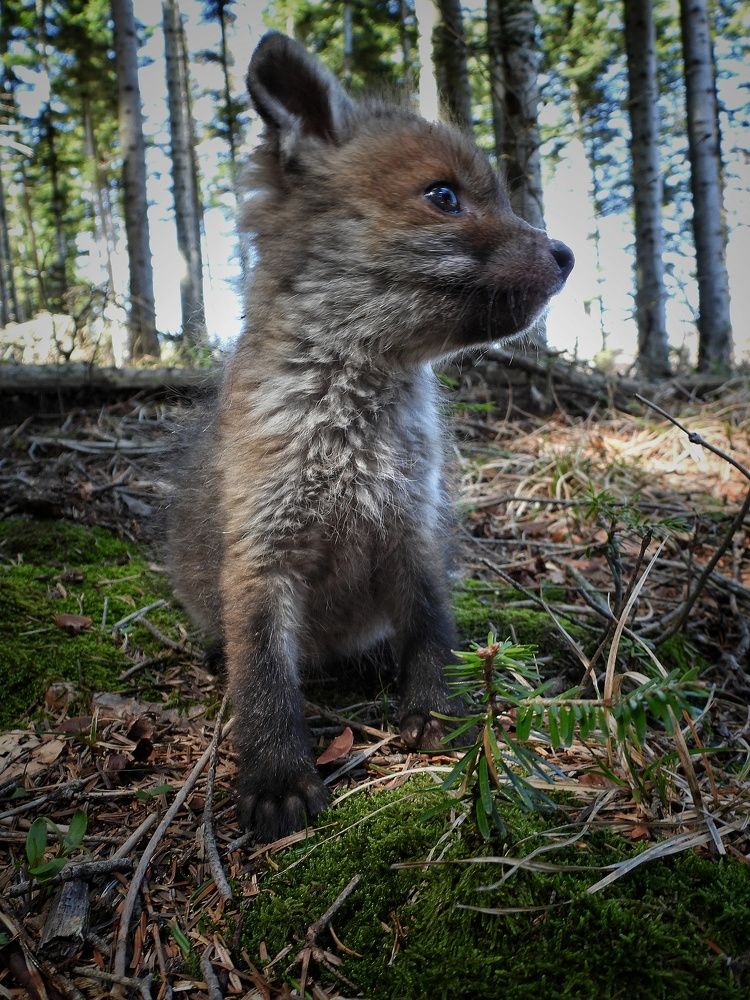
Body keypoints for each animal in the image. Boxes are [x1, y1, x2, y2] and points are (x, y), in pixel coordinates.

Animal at [167, 31, 574, 842]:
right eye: (444, 196)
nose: (567, 255)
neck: (352, 433)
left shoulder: (411, 529)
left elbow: (433, 631)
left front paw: (438, 713)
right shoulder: (263, 550)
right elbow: (264, 678)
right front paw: (277, 776)